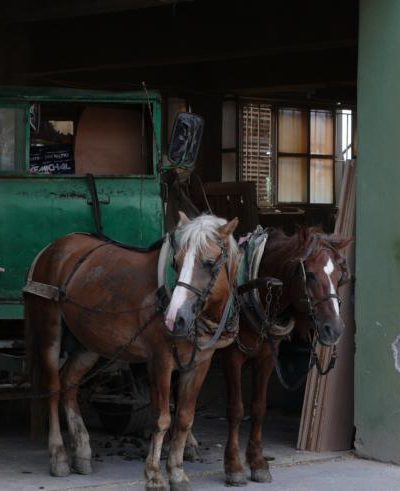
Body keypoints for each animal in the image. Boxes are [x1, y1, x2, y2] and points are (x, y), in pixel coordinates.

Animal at [24, 213, 238, 491]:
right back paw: (59, 456)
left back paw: (81, 452)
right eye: (177, 262)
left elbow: (184, 418)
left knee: (69, 382)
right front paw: (154, 475)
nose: (174, 319)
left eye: (209, 263)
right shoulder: (160, 361)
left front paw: (177, 473)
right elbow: (162, 419)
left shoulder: (200, 364)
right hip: (50, 330)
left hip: (89, 342)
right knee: (53, 387)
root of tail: (51, 248)